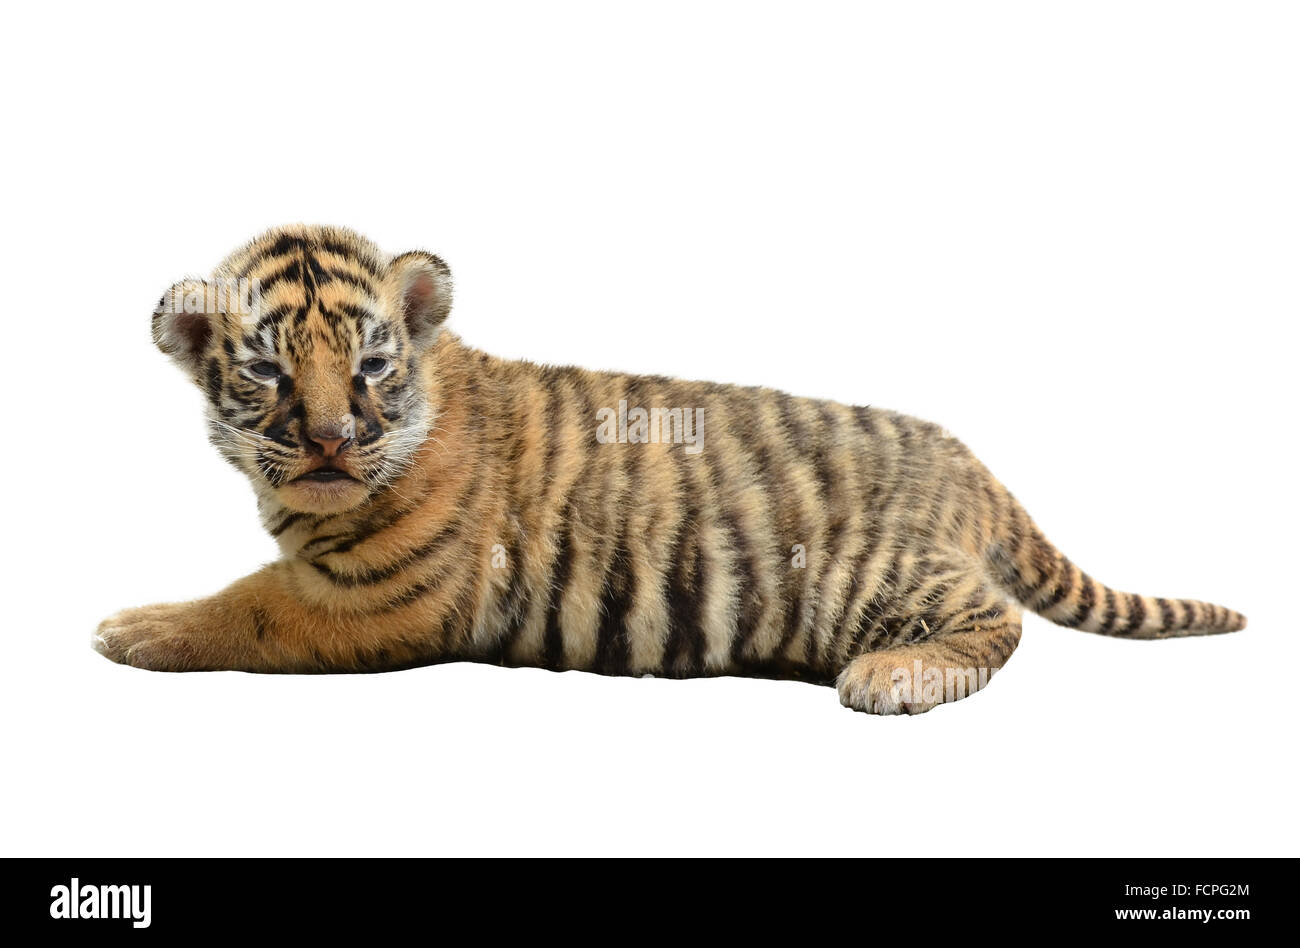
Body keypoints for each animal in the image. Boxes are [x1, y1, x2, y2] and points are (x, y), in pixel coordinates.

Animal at [94, 223, 1246, 714]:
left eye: (372, 366)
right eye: (269, 372)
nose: (332, 441)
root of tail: (965, 457)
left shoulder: (376, 598)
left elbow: (247, 607)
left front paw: (133, 628)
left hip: (870, 572)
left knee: (996, 620)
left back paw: (889, 678)